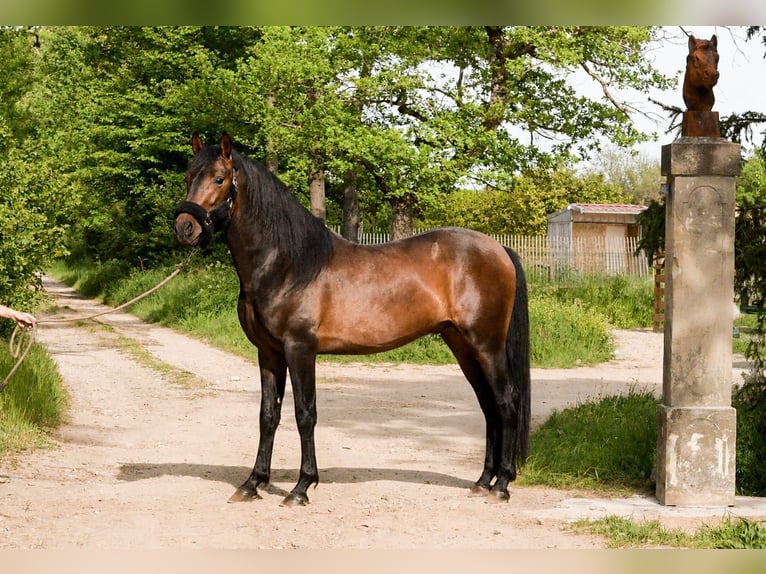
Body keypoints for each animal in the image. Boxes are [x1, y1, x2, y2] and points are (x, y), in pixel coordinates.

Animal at [174, 133, 531, 506]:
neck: (288, 265)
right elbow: (268, 415)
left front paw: (302, 487)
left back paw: (502, 485)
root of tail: (499, 249)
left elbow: (305, 414)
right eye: (188, 176)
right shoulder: (268, 353)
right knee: (488, 406)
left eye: (219, 179)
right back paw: (483, 480)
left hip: (486, 344)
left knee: (506, 402)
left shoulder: (300, 350)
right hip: (461, 345)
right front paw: (253, 483)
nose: (185, 227)